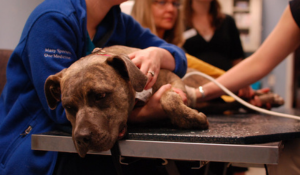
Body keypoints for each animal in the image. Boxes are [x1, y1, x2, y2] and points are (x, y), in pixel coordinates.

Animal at [44, 45, 209, 157]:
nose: (81, 138)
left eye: (100, 95)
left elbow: (169, 98)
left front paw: (190, 118)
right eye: (68, 107)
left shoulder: (172, 78)